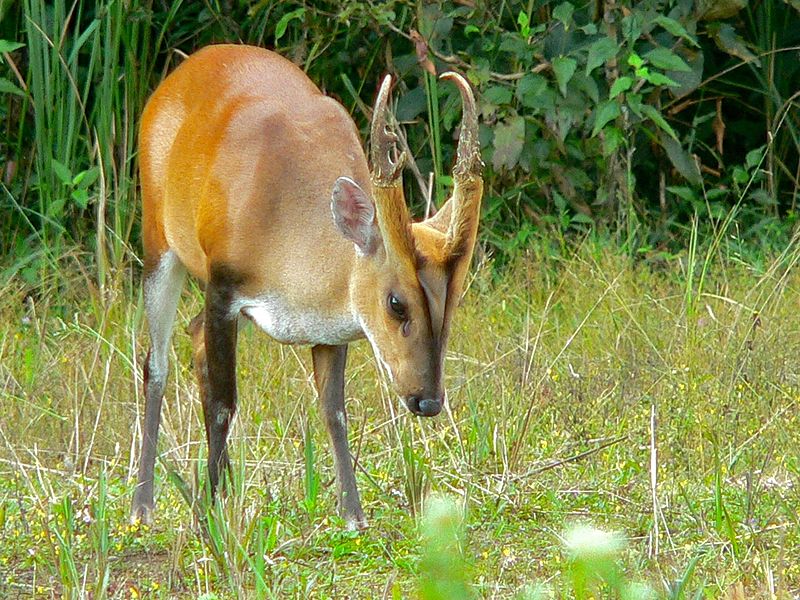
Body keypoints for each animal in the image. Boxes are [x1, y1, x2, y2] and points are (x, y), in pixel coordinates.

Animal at [130, 43, 482, 528]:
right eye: (396, 302)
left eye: (453, 300)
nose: (427, 401)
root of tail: (177, 75)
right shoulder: (223, 286)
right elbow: (224, 403)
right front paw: (214, 516)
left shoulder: (330, 329)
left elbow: (334, 410)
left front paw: (353, 515)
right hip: (158, 238)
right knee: (157, 364)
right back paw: (143, 504)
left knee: (194, 332)